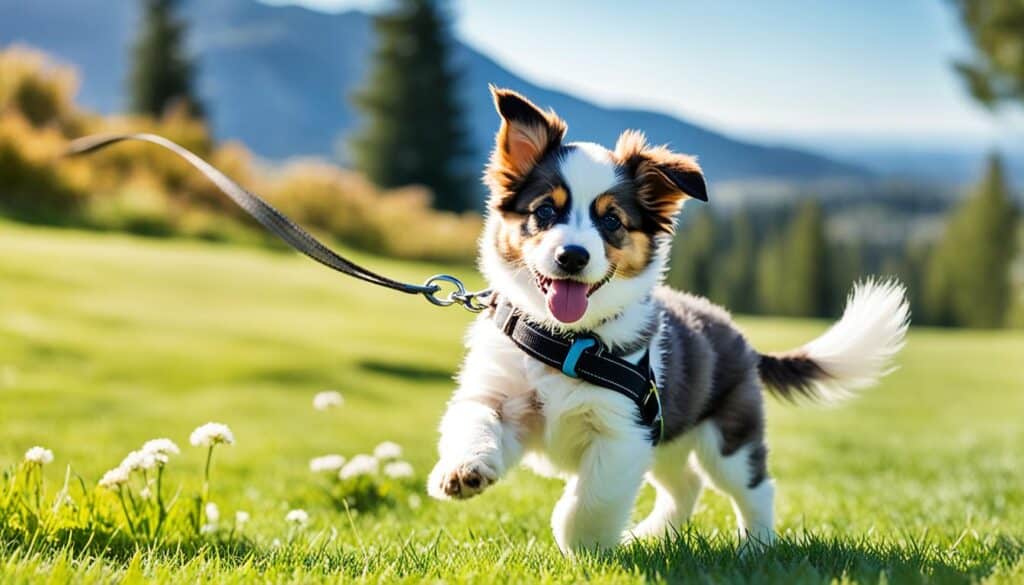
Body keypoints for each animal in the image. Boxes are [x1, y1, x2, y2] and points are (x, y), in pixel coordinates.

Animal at [428, 87, 909, 553]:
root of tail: (742, 339)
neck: (565, 341)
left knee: (753, 487)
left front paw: (584, 547)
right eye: (545, 211)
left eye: (611, 220)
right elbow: (473, 419)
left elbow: (591, 500)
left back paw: (755, 549)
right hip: (670, 439)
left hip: (727, 438)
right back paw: (651, 535)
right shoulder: (498, 394)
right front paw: (464, 469)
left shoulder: (624, 432)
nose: (573, 256)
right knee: (687, 485)